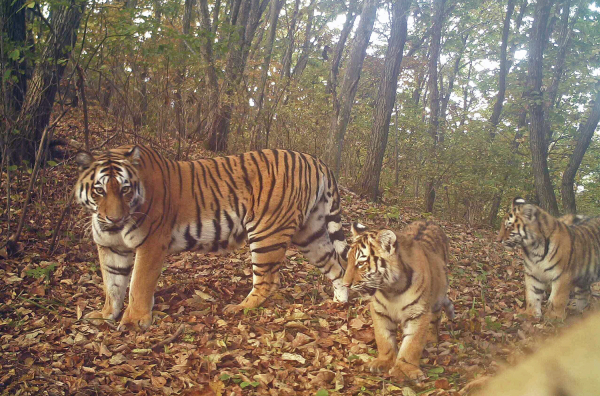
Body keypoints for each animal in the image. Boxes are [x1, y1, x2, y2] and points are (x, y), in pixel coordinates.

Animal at [75, 145, 350, 332]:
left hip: (267, 232)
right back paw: (340, 302)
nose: (114, 218)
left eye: (125, 189)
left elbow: (137, 285)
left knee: (268, 281)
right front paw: (105, 314)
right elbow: (112, 284)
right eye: (99, 190)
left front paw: (133, 321)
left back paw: (239, 308)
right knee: (337, 266)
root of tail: (315, 160)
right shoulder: (110, 248)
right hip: (310, 234)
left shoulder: (151, 244)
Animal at [344, 221, 452, 378]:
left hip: (437, 298)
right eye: (348, 260)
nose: (345, 284)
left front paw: (404, 369)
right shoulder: (380, 311)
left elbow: (413, 344)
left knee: (435, 320)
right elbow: (383, 338)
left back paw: (431, 340)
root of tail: (429, 221)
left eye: (361, 263)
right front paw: (384, 361)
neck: (392, 290)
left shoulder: (419, 313)